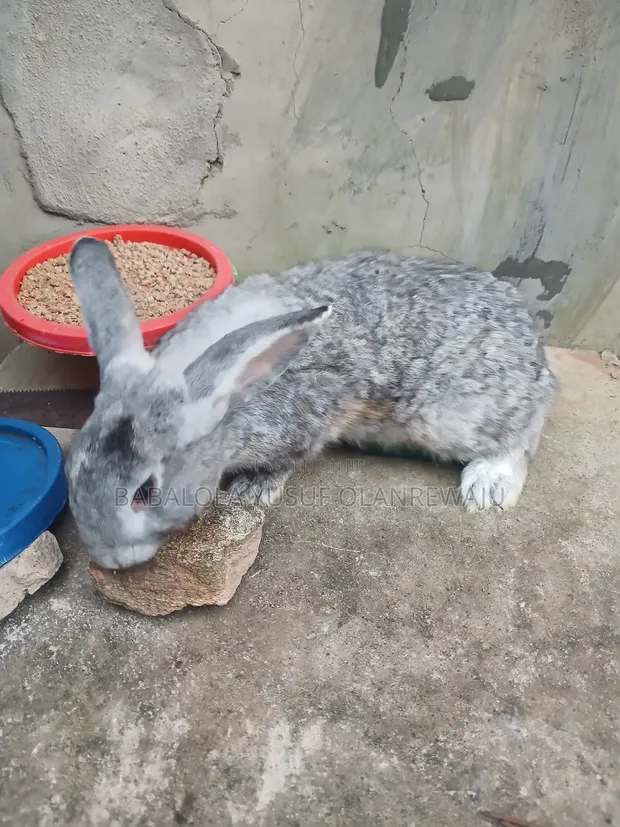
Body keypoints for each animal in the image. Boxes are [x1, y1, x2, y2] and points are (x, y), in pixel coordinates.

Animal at [65, 238, 556, 569]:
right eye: (70, 469)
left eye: (145, 491)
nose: (109, 558)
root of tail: (534, 348)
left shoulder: (308, 415)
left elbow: (291, 458)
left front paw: (252, 490)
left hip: (451, 415)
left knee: (524, 429)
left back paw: (489, 485)